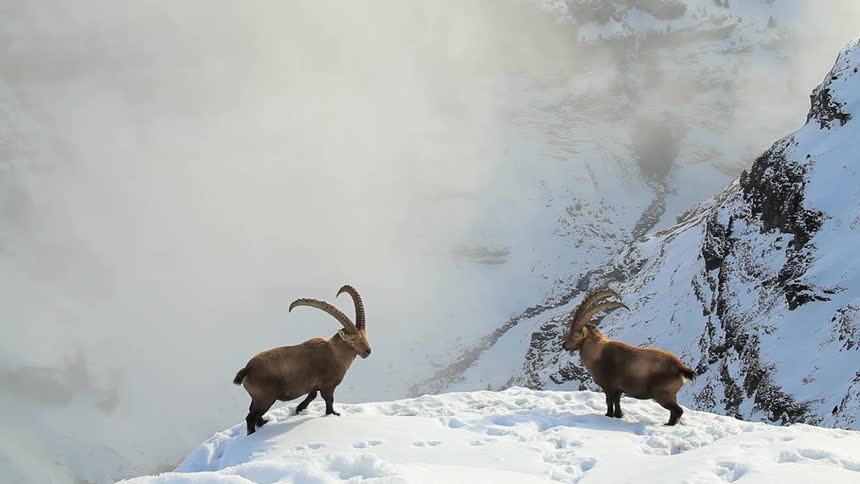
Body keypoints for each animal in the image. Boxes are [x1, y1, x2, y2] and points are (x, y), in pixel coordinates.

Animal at [232, 285, 371, 435]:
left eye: (364, 335)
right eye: (353, 338)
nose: (368, 351)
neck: (335, 354)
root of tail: (247, 370)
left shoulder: (313, 385)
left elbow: (312, 395)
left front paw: (299, 409)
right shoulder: (328, 385)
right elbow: (329, 401)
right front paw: (334, 414)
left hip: (257, 399)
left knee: (254, 414)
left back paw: (264, 423)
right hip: (265, 399)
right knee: (250, 418)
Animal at [561, 289, 696, 425]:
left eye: (576, 336)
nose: (564, 345)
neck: (597, 354)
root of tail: (681, 368)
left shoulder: (609, 387)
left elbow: (609, 403)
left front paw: (608, 416)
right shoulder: (618, 389)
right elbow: (617, 402)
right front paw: (619, 415)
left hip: (662, 394)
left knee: (677, 411)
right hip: (672, 395)